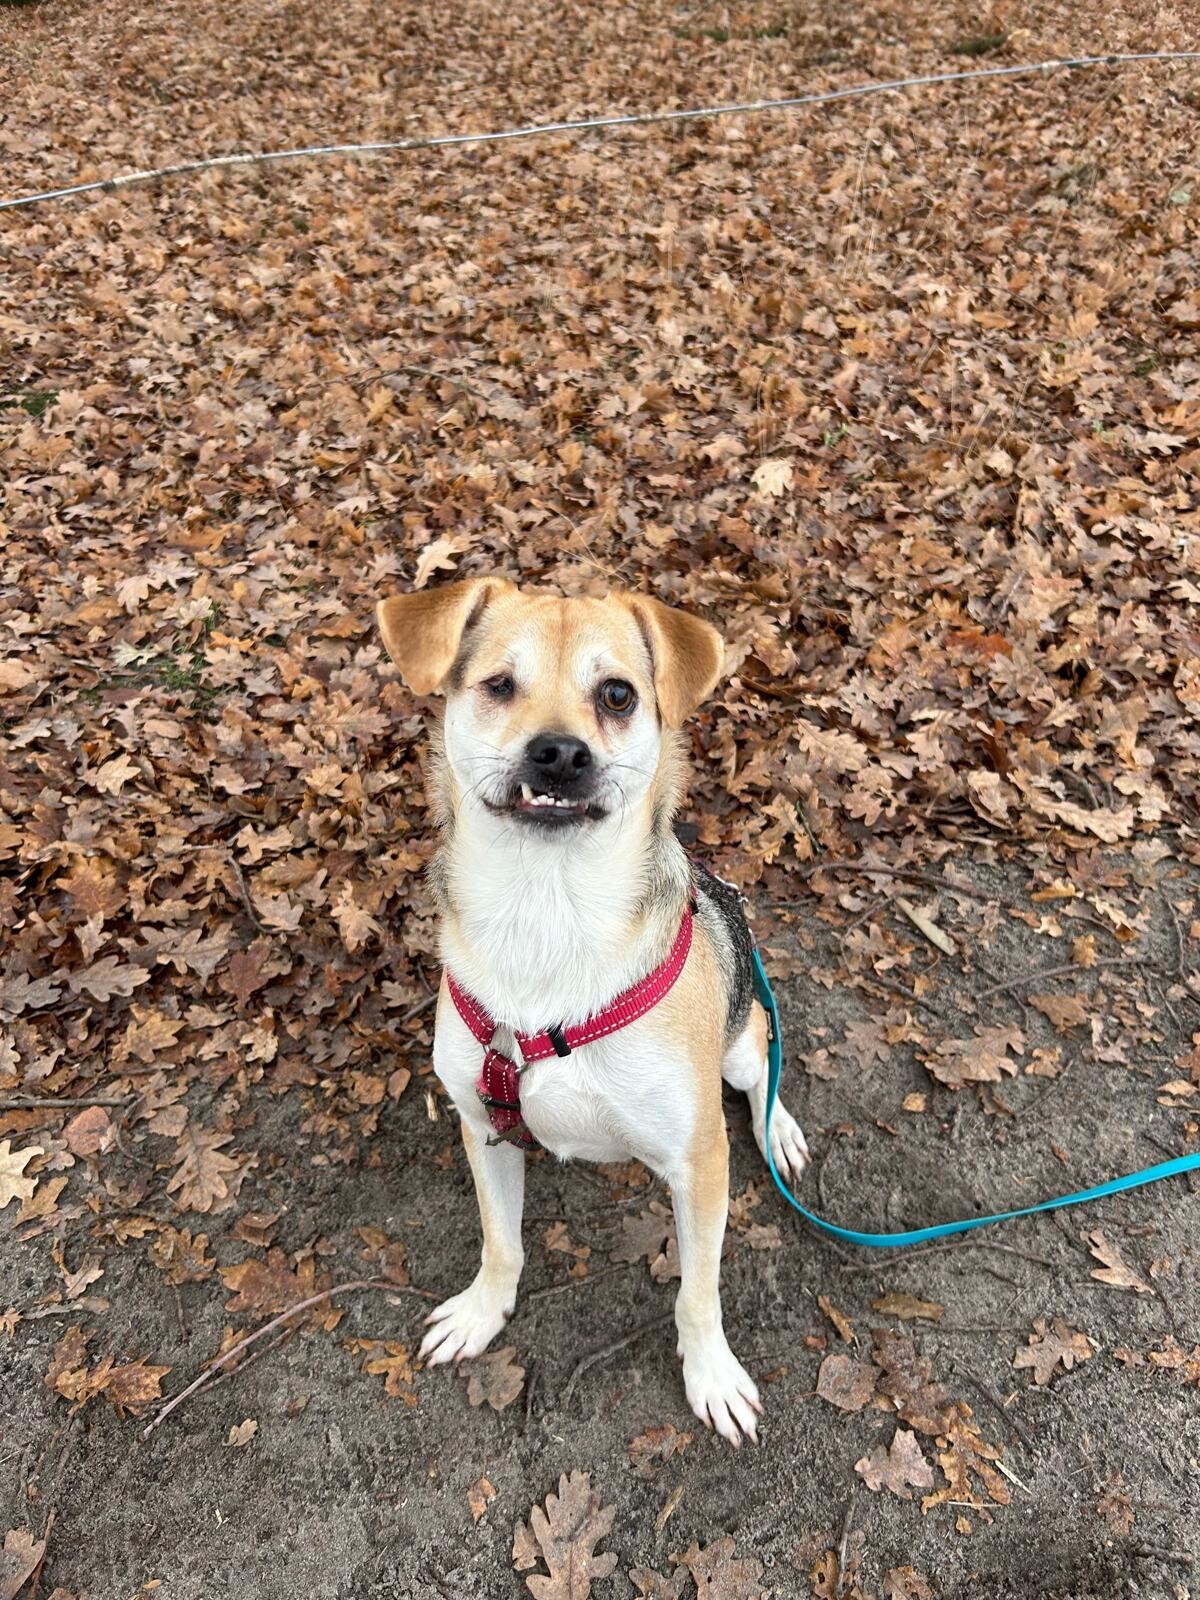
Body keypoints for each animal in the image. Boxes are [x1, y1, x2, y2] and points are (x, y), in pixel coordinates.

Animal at [376, 579, 809, 1445]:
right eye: (498, 684)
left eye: (617, 695)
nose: (560, 754)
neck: (549, 909)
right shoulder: (481, 1125)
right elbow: (501, 1245)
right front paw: (482, 1312)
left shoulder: (700, 1163)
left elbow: (697, 1294)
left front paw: (711, 1374)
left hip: (741, 1038)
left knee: (762, 1070)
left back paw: (779, 1129)